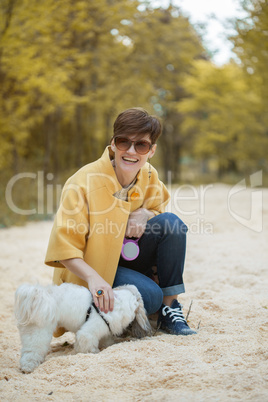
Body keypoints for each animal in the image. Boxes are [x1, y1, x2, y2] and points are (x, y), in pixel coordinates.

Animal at [14, 282, 152, 374]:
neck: (118, 304)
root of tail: (40, 295)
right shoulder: (88, 333)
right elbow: (88, 346)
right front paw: (93, 353)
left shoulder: (104, 331)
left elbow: (106, 340)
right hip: (38, 332)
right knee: (31, 351)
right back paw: (28, 366)